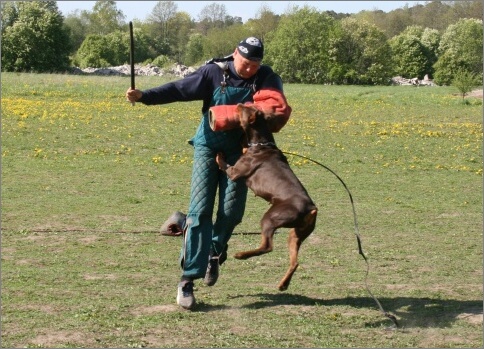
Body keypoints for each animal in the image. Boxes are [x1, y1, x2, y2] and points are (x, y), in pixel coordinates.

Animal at [216, 103, 318, 290]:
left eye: (244, 109)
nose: (239, 104)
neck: (261, 143)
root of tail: (311, 208)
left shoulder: (235, 172)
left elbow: (224, 164)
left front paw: (219, 155)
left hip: (271, 218)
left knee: (267, 246)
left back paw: (241, 255)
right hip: (296, 234)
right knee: (295, 261)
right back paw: (283, 284)